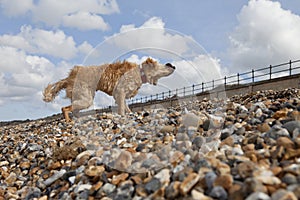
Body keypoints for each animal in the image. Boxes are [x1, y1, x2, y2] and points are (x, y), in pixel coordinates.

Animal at [42, 57, 173, 122]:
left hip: (82, 98)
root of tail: (69, 77)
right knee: (64, 108)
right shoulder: (120, 92)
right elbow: (122, 109)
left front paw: (130, 114)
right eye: (162, 65)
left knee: (73, 110)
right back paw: (68, 121)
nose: (172, 65)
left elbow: (126, 107)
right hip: (86, 99)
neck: (140, 72)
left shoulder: (120, 95)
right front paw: (123, 116)